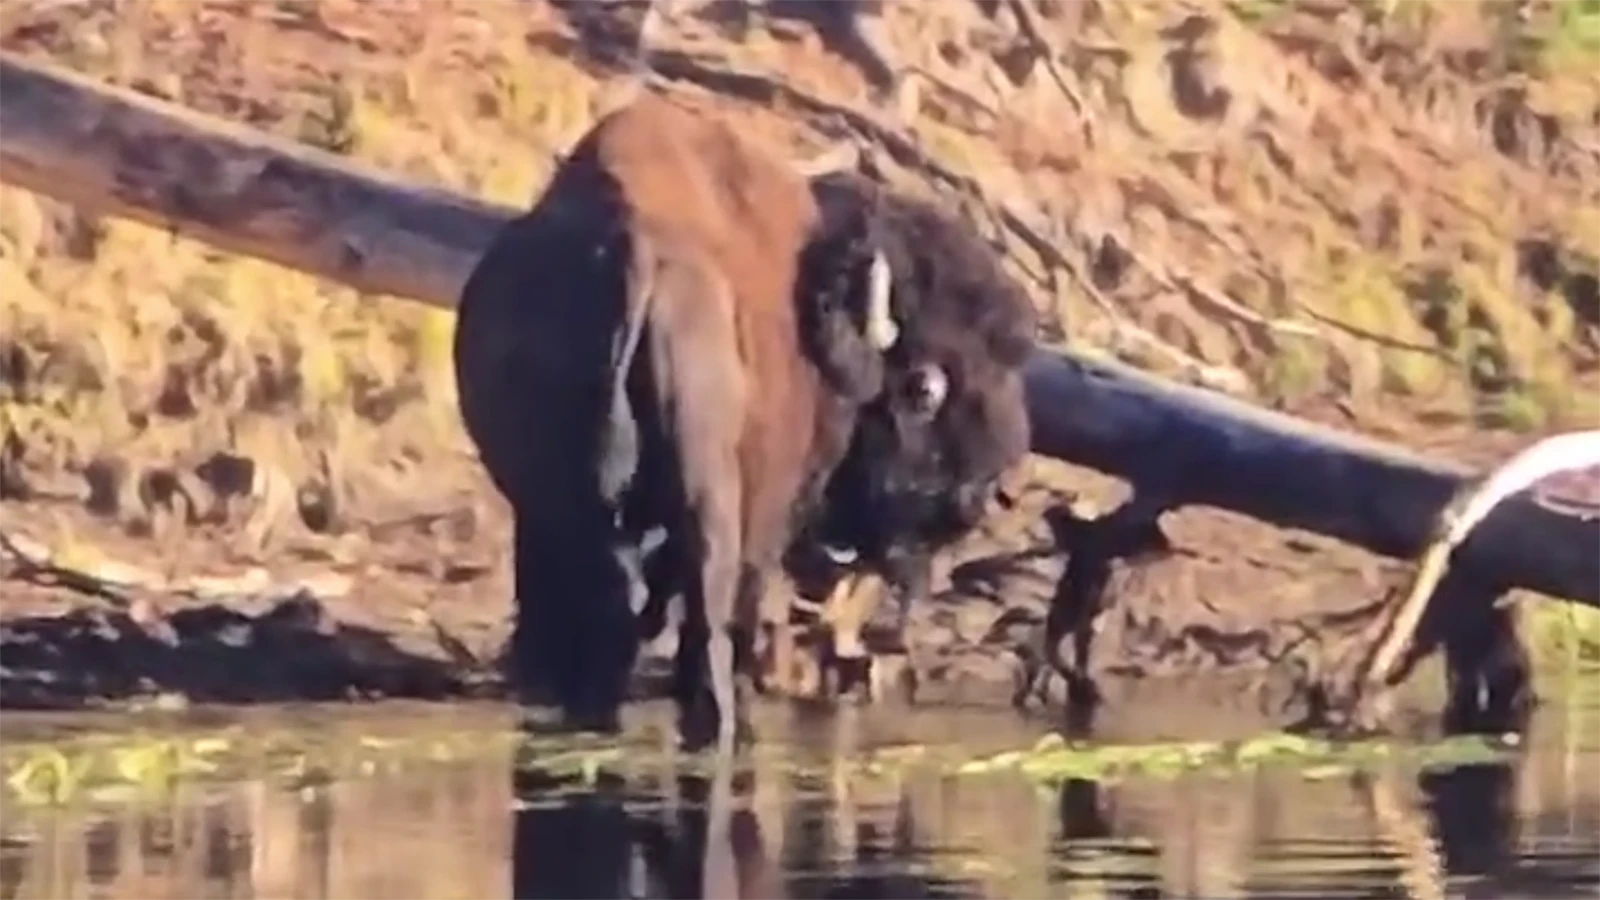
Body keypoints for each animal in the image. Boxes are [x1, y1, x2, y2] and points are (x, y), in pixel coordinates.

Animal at [453, 90, 1036, 752]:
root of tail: (642, 257)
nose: (976, 497)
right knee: (706, 621)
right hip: (716, 509)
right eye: (922, 389)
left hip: (559, 508)